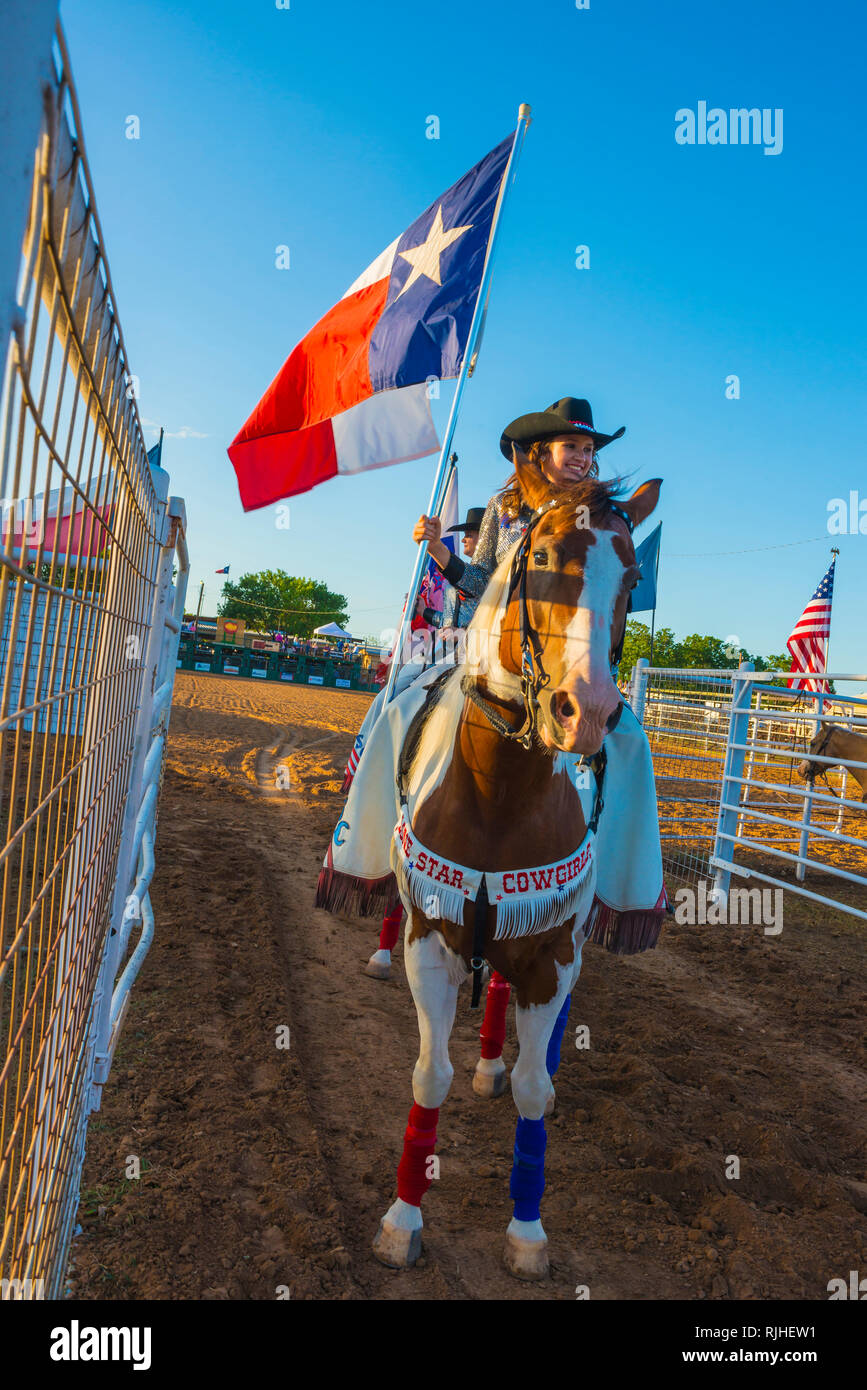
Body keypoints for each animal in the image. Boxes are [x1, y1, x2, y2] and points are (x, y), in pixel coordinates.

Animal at [369, 467, 661, 1278]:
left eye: (632, 577)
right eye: (544, 561)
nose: (583, 711)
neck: (499, 792)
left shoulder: (550, 950)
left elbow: (535, 1087)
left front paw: (527, 1231)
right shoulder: (432, 938)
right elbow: (427, 1073)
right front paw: (402, 1219)